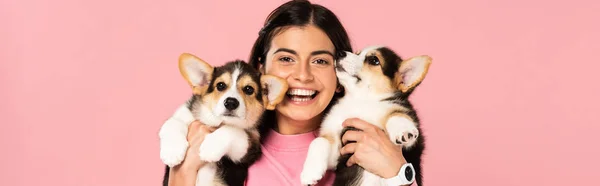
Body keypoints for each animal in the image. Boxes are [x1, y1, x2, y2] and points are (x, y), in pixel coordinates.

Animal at [157, 52, 288, 186]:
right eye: (220, 85)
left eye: (249, 89)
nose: (231, 102)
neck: (217, 122)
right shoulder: (183, 113)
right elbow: (172, 123)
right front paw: (172, 152)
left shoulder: (249, 149)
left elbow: (233, 130)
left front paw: (210, 148)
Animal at [300, 45, 432, 186]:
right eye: (357, 53)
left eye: (374, 60)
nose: (339, 53)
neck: (361, 100)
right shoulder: (338, 153)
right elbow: (319, 141)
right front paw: (310, 173)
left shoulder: (412, 147)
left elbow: (396, 115)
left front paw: (404, 131)